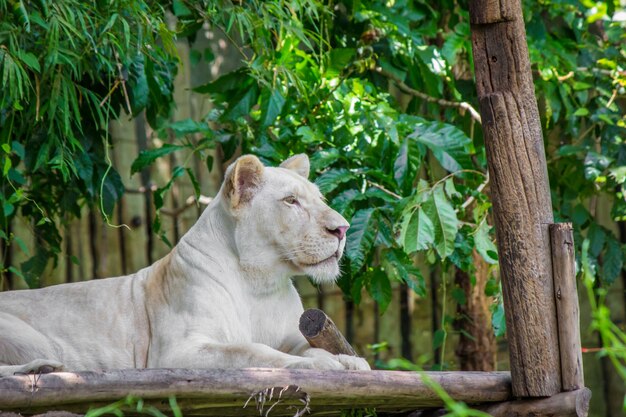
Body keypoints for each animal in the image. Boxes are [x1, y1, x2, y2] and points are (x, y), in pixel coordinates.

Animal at [0, 154, 368, 376]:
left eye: (319, 199)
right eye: (291, 201)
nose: (343, 228)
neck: (260, 282)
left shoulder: (290, 333)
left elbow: (301, 346)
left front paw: (349, 360)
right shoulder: (176, 353)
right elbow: (252, 352)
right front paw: (324, 365)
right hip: (32, 338)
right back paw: (42, 368)